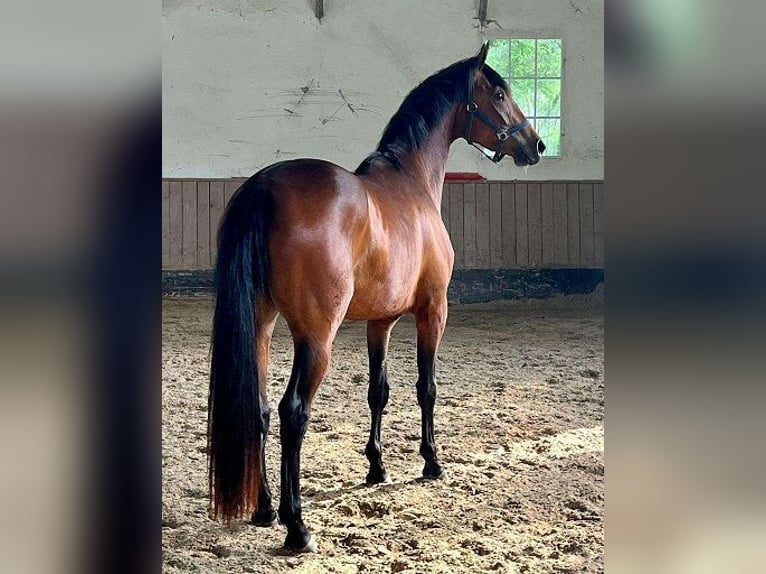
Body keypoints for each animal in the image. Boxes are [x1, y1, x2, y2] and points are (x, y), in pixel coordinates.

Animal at [208, 42, 544, 556]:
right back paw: (296, 526)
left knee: (260, 410)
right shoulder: (433, 312)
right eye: (500, 92)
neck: (413, 181)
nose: (536, 145)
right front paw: (431, 462)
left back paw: (264, 511)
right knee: (292, 413)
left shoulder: (380, 322)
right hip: (316, 338)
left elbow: (378, 392)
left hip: (262, 326)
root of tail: (264, 189)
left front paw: (376, 468)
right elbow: (427, 387)